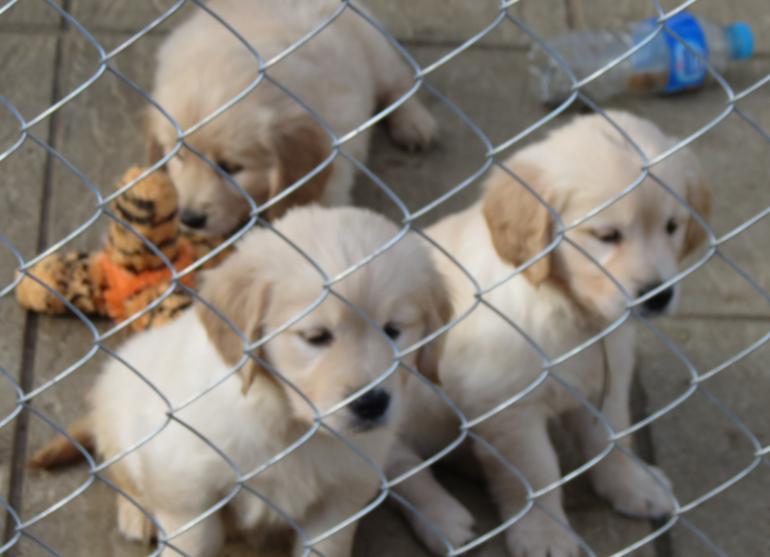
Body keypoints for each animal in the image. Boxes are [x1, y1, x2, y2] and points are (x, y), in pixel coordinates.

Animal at [147, 0, 436, 235]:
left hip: (374, 47)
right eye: (179, 157)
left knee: (399, 82)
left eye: (231, 168)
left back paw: (414, 123)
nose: (190, 219)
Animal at [404, 112, 712, 556]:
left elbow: (611, 440)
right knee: (403, 471)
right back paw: (442, 518)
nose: (659, 295)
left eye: (672, 226)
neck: (571, 312)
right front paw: (544, 534)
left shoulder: (607, 379)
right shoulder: (508, 406)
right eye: (607, 236)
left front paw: (632, 485)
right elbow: (536, 472)